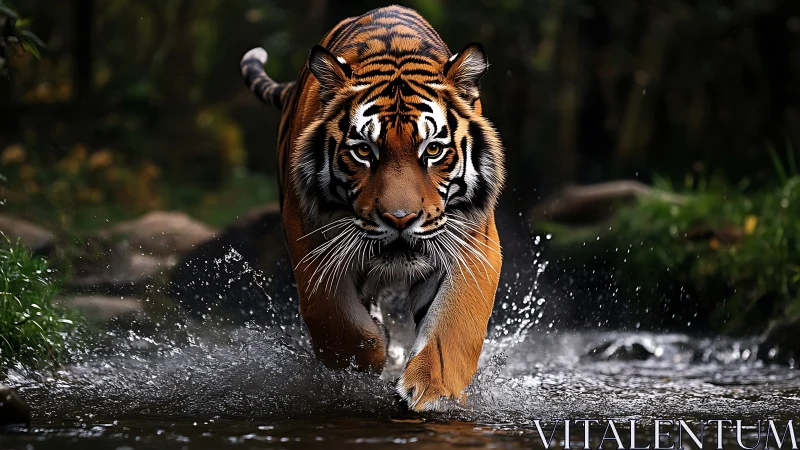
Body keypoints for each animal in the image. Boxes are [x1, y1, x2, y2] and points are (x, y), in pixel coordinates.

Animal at [240, 5, 505, 411]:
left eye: (433, 149)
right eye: (364, 151)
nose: (400, 219)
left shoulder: (474, 242)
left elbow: (452, 326)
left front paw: (432, 389)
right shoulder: (310, 240)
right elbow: (337, 319)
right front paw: (364, 365)